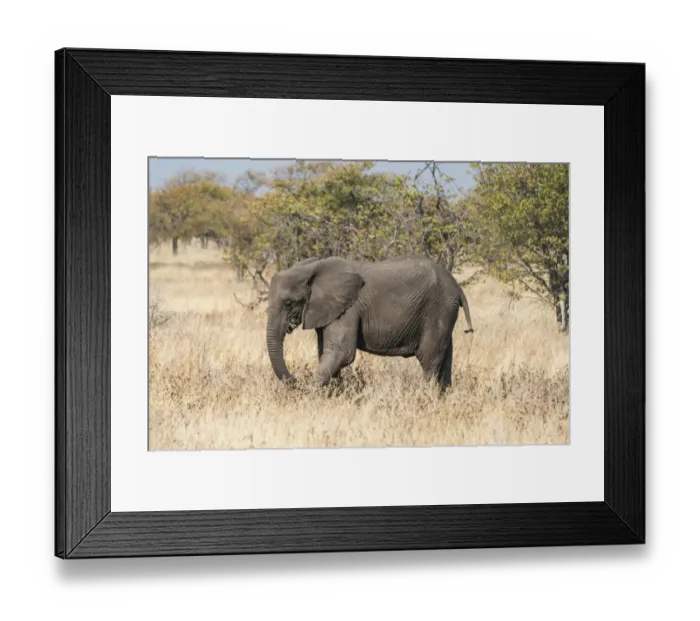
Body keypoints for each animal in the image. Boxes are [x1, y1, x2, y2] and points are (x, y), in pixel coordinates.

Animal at [265, 255, 474, 391]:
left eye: (289, 303)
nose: (295, 379)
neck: (311, 269)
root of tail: (456, 285)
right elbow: (326, 352)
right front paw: (334, 394)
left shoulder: (348, 309)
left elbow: (342, 353)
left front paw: (310, 393)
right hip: (444, 311)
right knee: (444, 357)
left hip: (438, 309)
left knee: (428, 358)